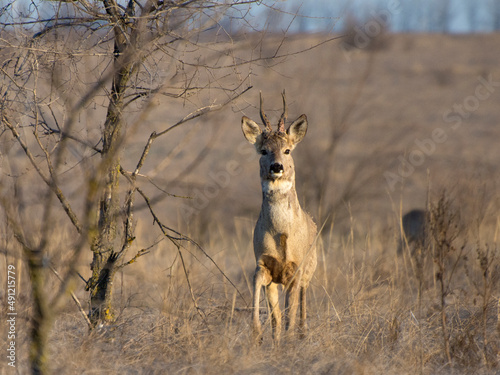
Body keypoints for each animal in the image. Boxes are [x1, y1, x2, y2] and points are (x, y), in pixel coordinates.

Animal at [241, 92, 316, 344]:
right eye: (263, 150)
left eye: (287, 150)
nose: (276, 166)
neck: (282, 233)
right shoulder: (263, 264)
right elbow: (273, 312)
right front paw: (257, 333)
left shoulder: (296, 268)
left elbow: (289, 313)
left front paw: (289, 340)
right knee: (278, 316)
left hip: (310, 268)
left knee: (301, 303)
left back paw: (301, 334)